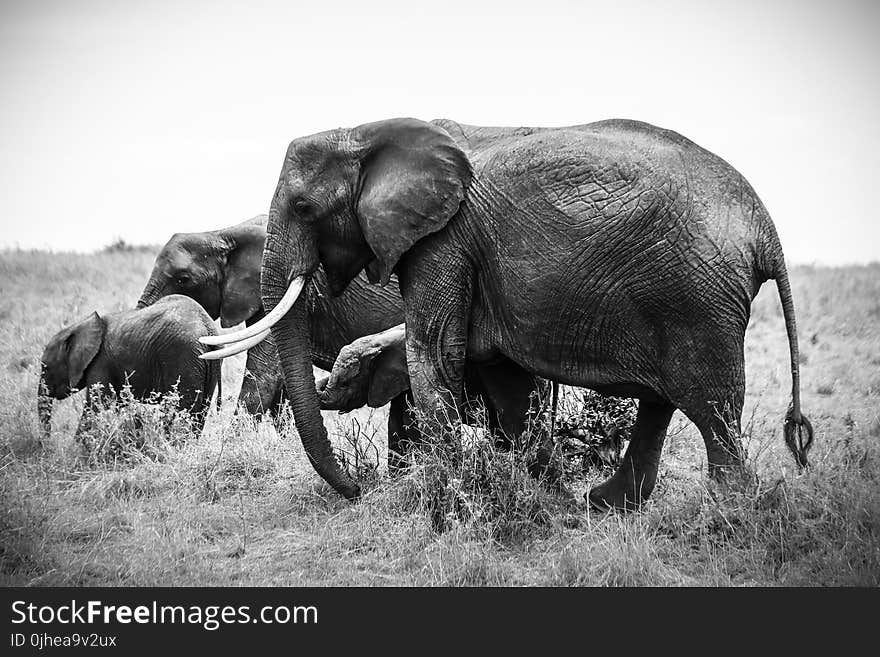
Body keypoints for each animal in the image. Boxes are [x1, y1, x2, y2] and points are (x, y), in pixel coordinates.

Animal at [38, 294, 220, 444]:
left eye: (45, 367)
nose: (47, 444)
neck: (80, 326)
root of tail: (208, 328)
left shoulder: (100, 363)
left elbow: (97, 406)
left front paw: (75, 449)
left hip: (182, 355)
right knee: (199, 413)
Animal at [208, 118, 812, 508]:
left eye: (304, 206)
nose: (360, 492)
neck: (369, 131)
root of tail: (766, 231)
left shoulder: (443, 242)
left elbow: (435, 355)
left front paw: (444, 495)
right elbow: (503, 378)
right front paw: (541, 493)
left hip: (695, 296)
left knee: (710, 403)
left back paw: (727, 513)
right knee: (662, 401)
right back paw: (603, 504)